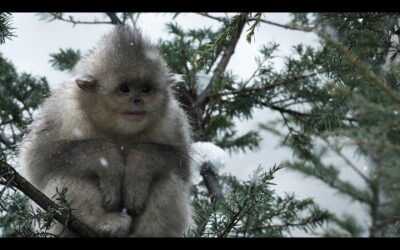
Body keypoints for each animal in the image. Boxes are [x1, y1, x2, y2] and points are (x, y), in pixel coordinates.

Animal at [18, 26, 192, 237]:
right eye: (124, 89)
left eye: (146, 89)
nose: (137, 101)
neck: (117, 130)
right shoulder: (62, 111)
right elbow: (38, 161)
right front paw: (109, 161)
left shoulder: (172, 119)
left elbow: (181, 164)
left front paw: (137, 167)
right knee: (67, 173)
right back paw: (104, 223)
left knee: (168, 178)